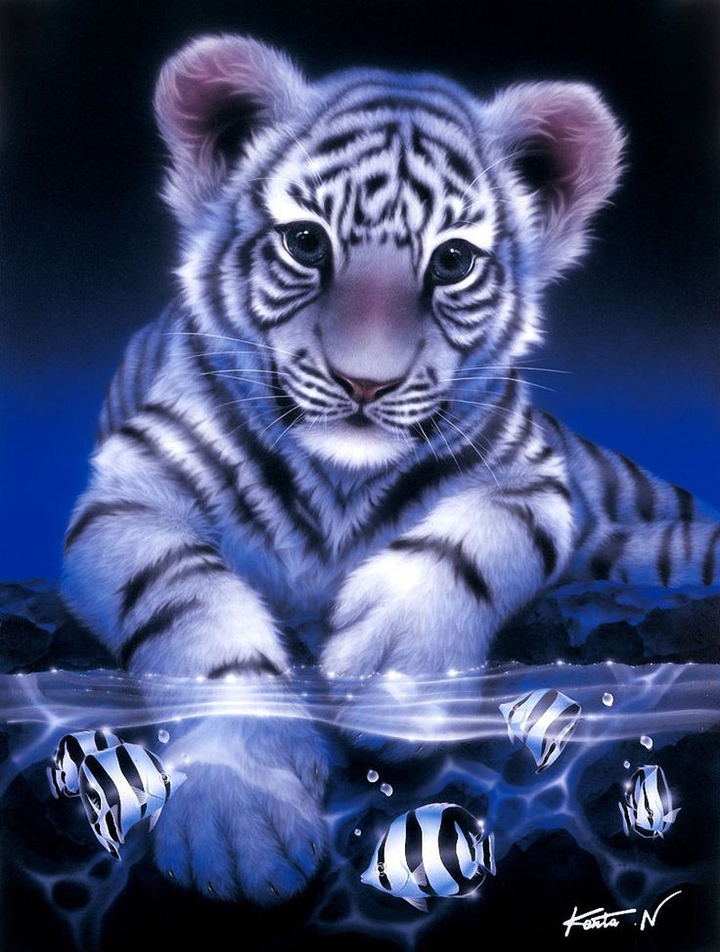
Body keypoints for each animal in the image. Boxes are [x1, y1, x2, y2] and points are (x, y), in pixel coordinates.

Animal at [60, 34, 720, 905]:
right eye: (307, 242)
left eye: (453, 261)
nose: (364, 382)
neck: (340, 483)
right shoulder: (126, 496)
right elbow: (191, 609)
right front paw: (240, 814)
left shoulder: (532, 478)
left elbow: (470, 541)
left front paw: (395, 681)